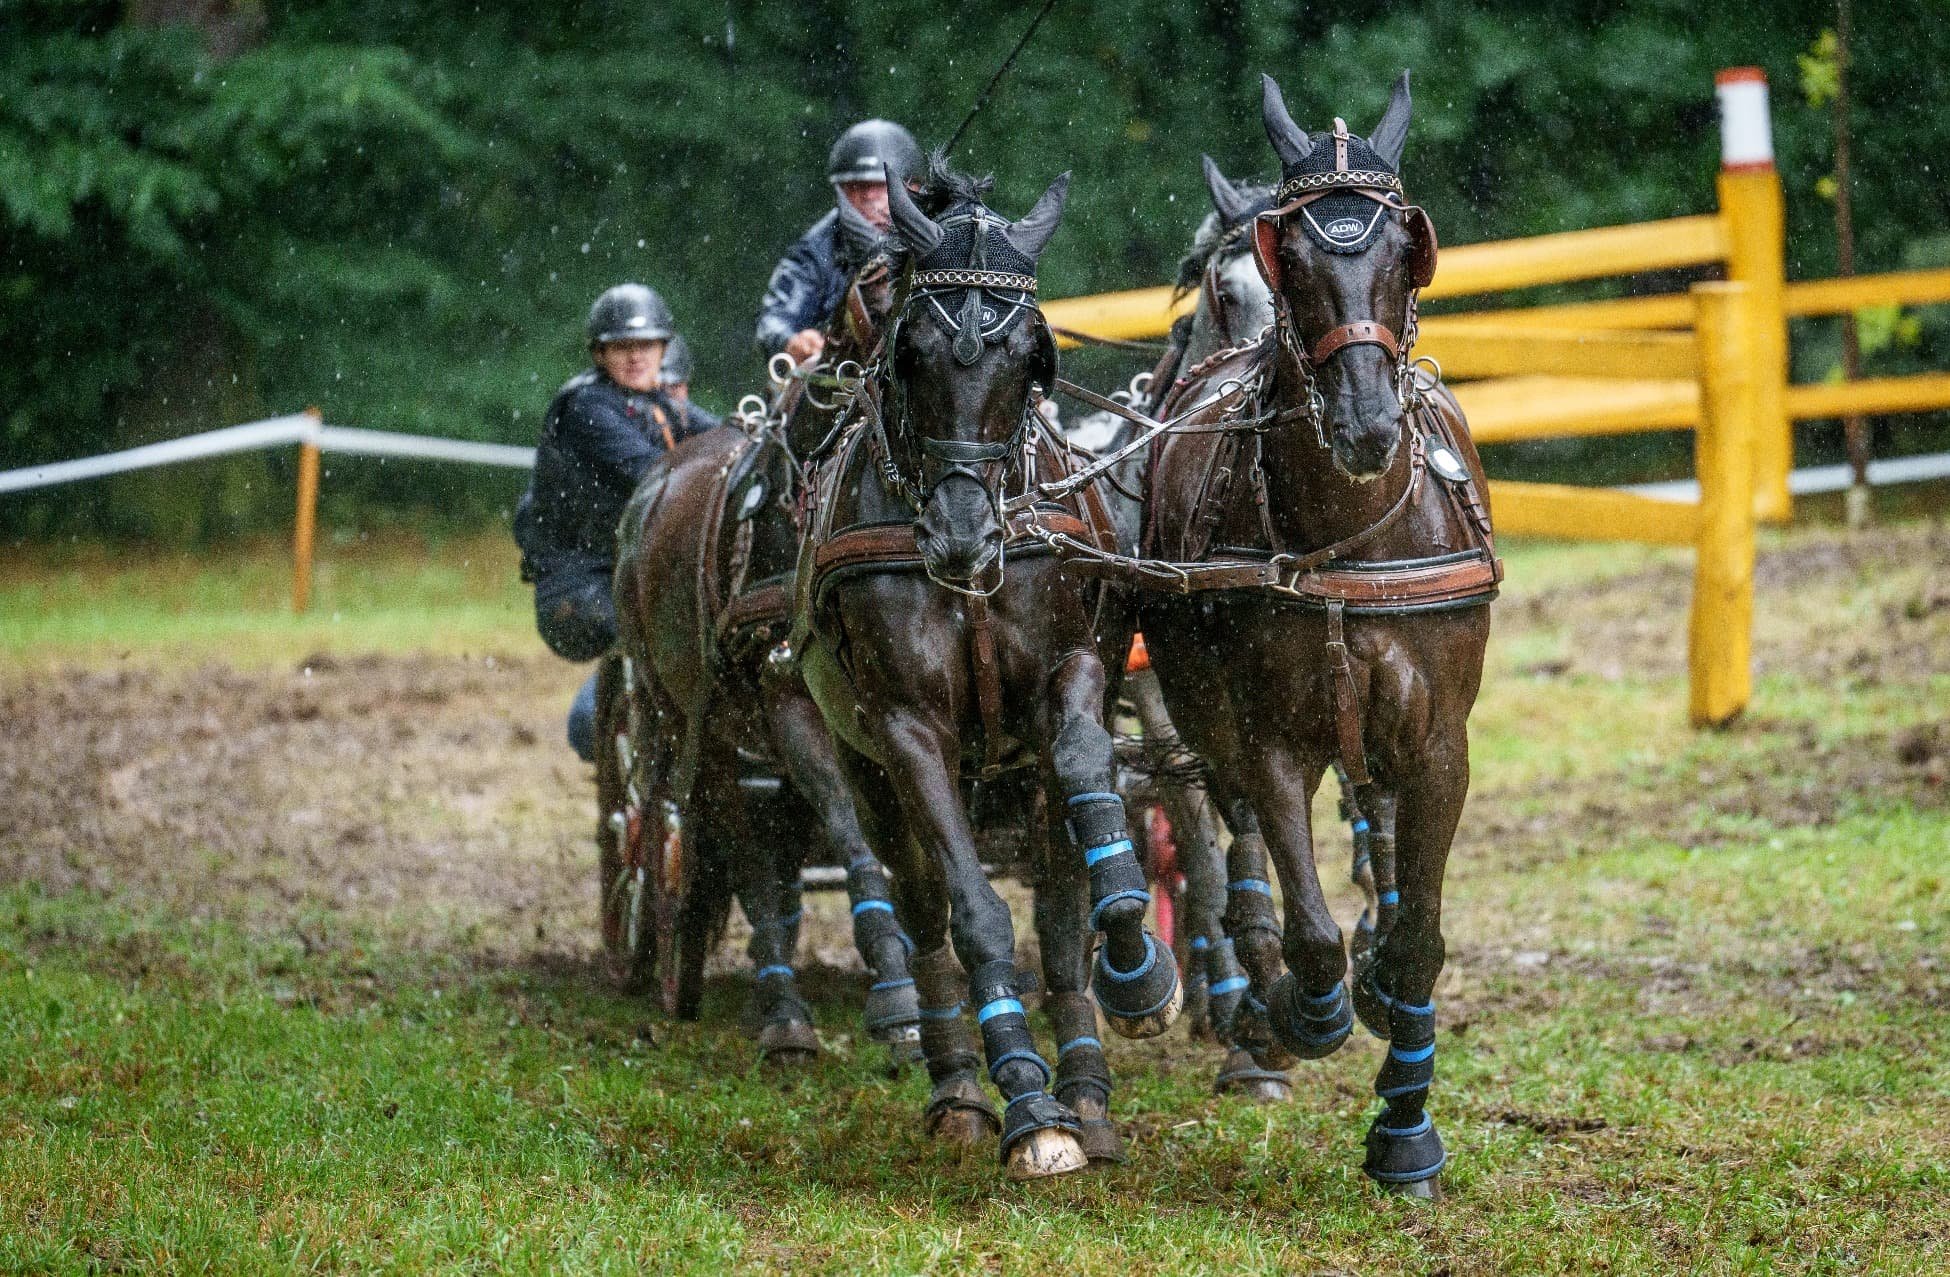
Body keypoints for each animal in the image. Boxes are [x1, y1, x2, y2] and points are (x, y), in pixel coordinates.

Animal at [604, 214, 916, 1060]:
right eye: (875, 290)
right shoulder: (791, 706)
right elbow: (851, 833)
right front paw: (896, 996)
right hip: (688, 717)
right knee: (727, 845)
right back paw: (779, 1009)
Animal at [1138, 75, 1497, 1200]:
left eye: (1403, 252)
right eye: (1288, 259)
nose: (1368, 425)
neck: (1355, 532)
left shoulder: (1439, 745)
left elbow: (1420, 933)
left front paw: (1407, 1128)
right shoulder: (1271, 739)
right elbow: (1304, 923)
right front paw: (1300, 1010)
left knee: (1371, 822)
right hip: (1202, 711)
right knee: (1238, 840)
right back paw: (1261, 1008)